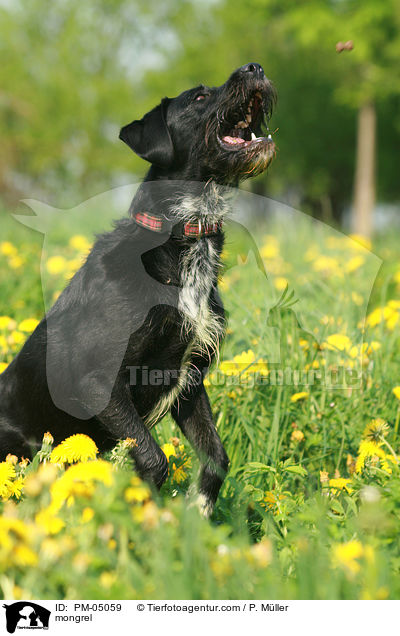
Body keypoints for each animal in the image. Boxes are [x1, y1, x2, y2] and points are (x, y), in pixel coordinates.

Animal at [0, 62, 276, 516]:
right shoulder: (97, 379)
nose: (254, 67)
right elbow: (155, 459)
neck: (180, 238)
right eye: (199, 97)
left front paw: (199, 511)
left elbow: (217, 455)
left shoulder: (189, 379)